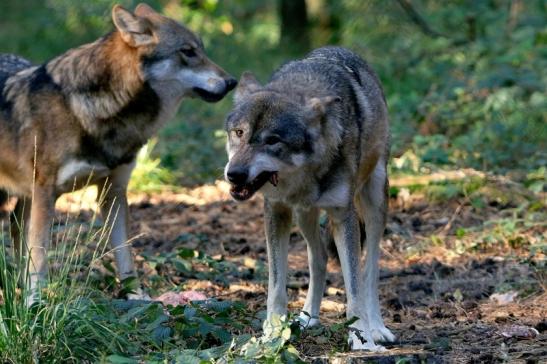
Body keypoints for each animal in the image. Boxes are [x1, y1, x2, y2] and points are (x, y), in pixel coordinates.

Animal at [0, 4, 238, 302]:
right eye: (188, 51)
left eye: (201, 50)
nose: (232, 82)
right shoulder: (46, 193)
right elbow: (41, 255)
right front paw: (36, 302)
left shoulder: (113, 191)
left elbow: (125, 254)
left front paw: (137, 296)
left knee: (15, 229)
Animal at [225, 47, 396, 352]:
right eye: (239, 133)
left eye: (272, 140)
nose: (234, 174)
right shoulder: (276, 212)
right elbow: (276, 288)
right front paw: (272, 336)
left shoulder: (343, 217)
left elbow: (354, 290)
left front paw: (361, 339)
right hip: (304, 216)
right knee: (320, 257)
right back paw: (308, 317)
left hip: (374, 203)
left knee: (370, 272)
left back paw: (377, 328)